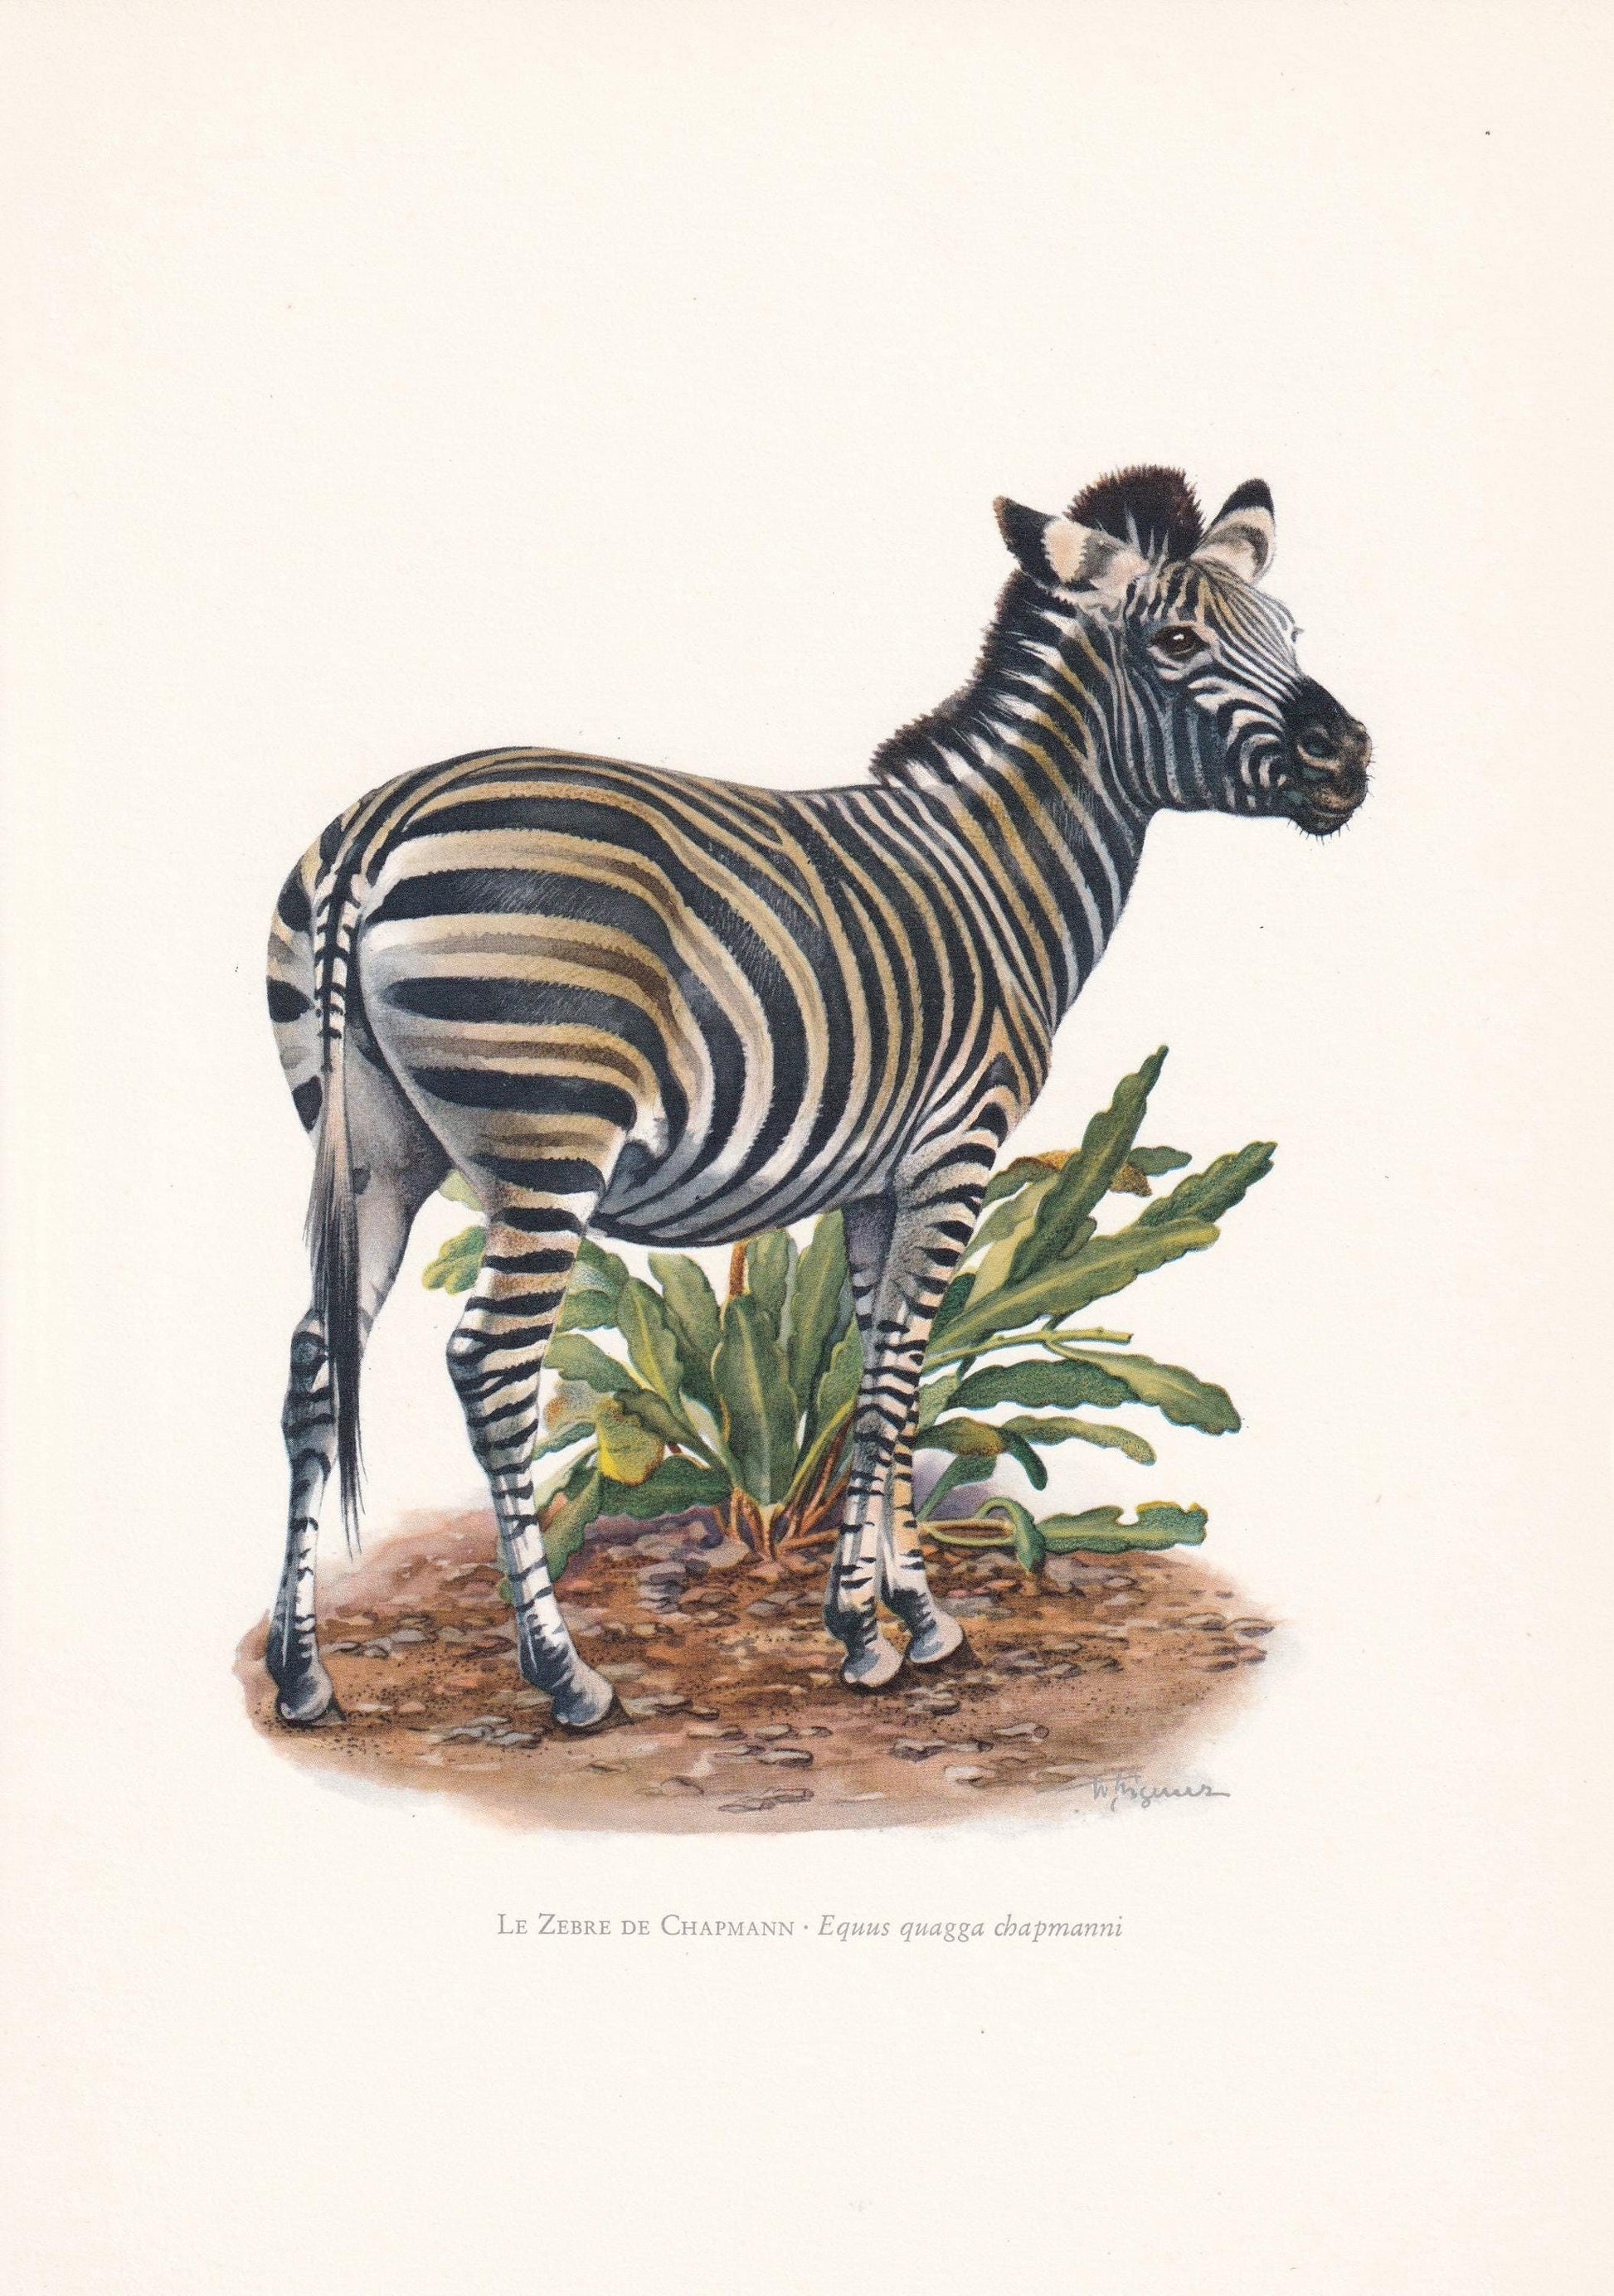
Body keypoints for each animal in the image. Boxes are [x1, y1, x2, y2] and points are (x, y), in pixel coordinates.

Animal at [264, 464, 1368, 1729]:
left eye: (1288, 632)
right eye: (1177, 640)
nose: (1351, 758)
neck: (1002, 869)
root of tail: (377, 828)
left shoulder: (876, 1179)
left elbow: (883, 1368)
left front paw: (910, 1612)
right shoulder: (957, 1149)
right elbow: (890, 1389)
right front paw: (866, 1630)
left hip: (372, 1150)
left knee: (312, 1366)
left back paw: (301, 1671)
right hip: (548, 1147)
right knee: (489, 1369)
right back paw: (564, 1673)